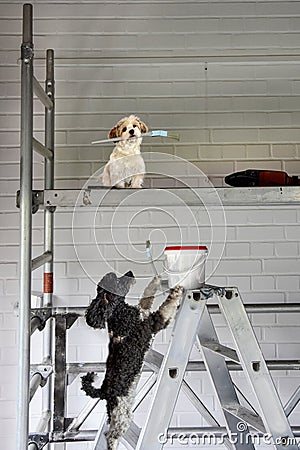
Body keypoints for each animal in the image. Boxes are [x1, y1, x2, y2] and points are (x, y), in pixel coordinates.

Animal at [81, 270, 182, 450]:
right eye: (116, 280)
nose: (130, 272)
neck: (120, 316)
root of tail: (103, 391)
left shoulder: (144, 309)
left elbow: (147, 294)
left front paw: (155, 279)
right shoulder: (155, 321)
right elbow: (166, 306)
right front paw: (176, 291)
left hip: (117, 412)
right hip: (122, 417)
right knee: (111, 437)